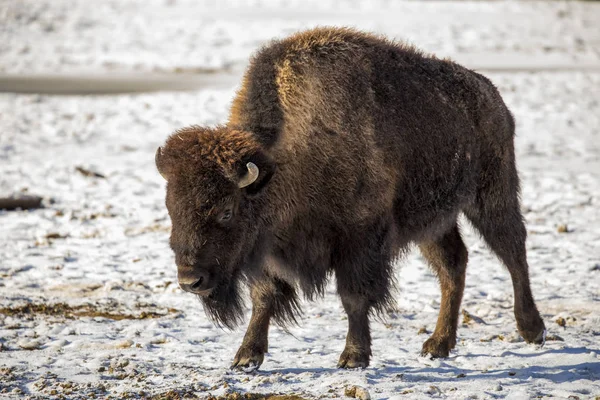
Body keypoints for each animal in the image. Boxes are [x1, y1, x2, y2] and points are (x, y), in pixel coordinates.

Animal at [156, 26, 548, 370]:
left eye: (225, 211)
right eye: (171, 209)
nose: (190, 281)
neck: (282, 162)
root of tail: (492, 97)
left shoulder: (360, 241)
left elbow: (353, 297)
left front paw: (353, 357)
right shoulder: (268, 247)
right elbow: (264, 297)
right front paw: (246, 358)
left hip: (492, 195)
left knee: (513, 251)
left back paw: (533, 330)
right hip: (433, 221)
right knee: (453, 264)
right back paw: (437, 345)